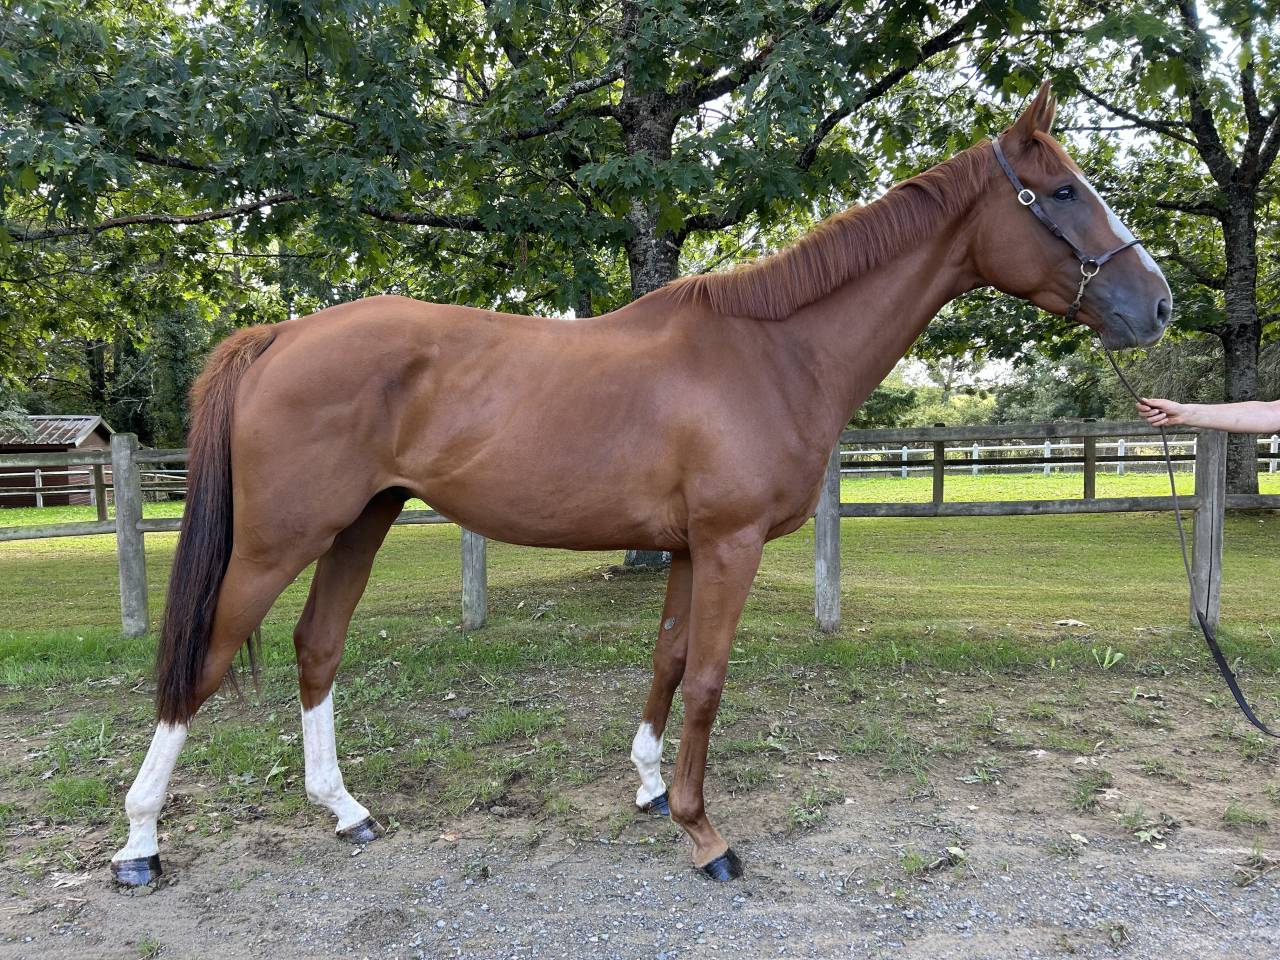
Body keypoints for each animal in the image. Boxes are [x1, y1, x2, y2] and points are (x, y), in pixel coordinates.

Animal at [110, 82, 1172, 886]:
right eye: (1064, 191)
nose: (1157, 306)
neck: (773, 352)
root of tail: (280, 335)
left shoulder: (687, 548)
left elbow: (665, 662)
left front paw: (653, 788)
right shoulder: (730, 545)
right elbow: (705, 680)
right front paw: (706, 833)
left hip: (361, 523)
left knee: (316, 648)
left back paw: (345, 810)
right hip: (278, 540)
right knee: (200, 664)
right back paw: (140, 845)